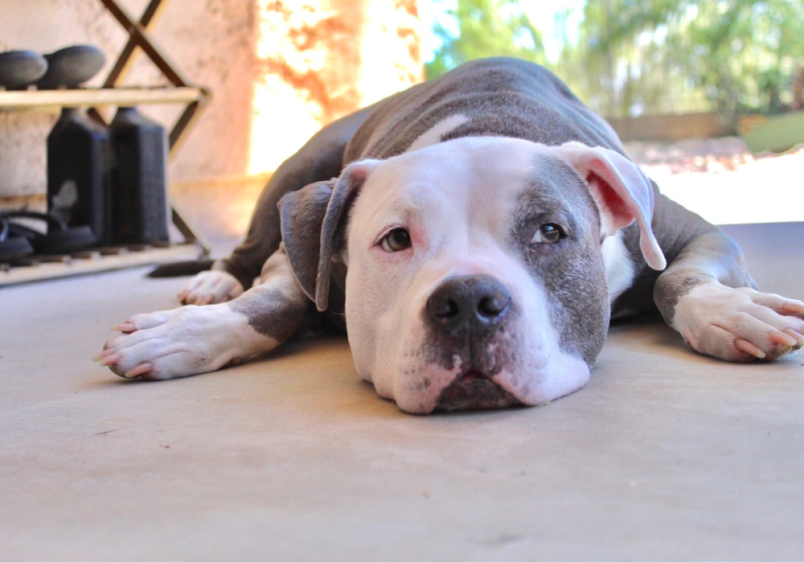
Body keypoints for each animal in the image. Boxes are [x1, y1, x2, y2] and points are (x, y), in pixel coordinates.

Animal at [97, 58, 804, 414]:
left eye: (551, 232)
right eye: (394, 240)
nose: (468, 303)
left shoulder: (692, 232)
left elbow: (678, 277)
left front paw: (732, 313)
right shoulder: (297, 252)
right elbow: (276, 299)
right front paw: (190, 335)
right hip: (297, 175)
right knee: (244, 250)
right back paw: (210, 285)